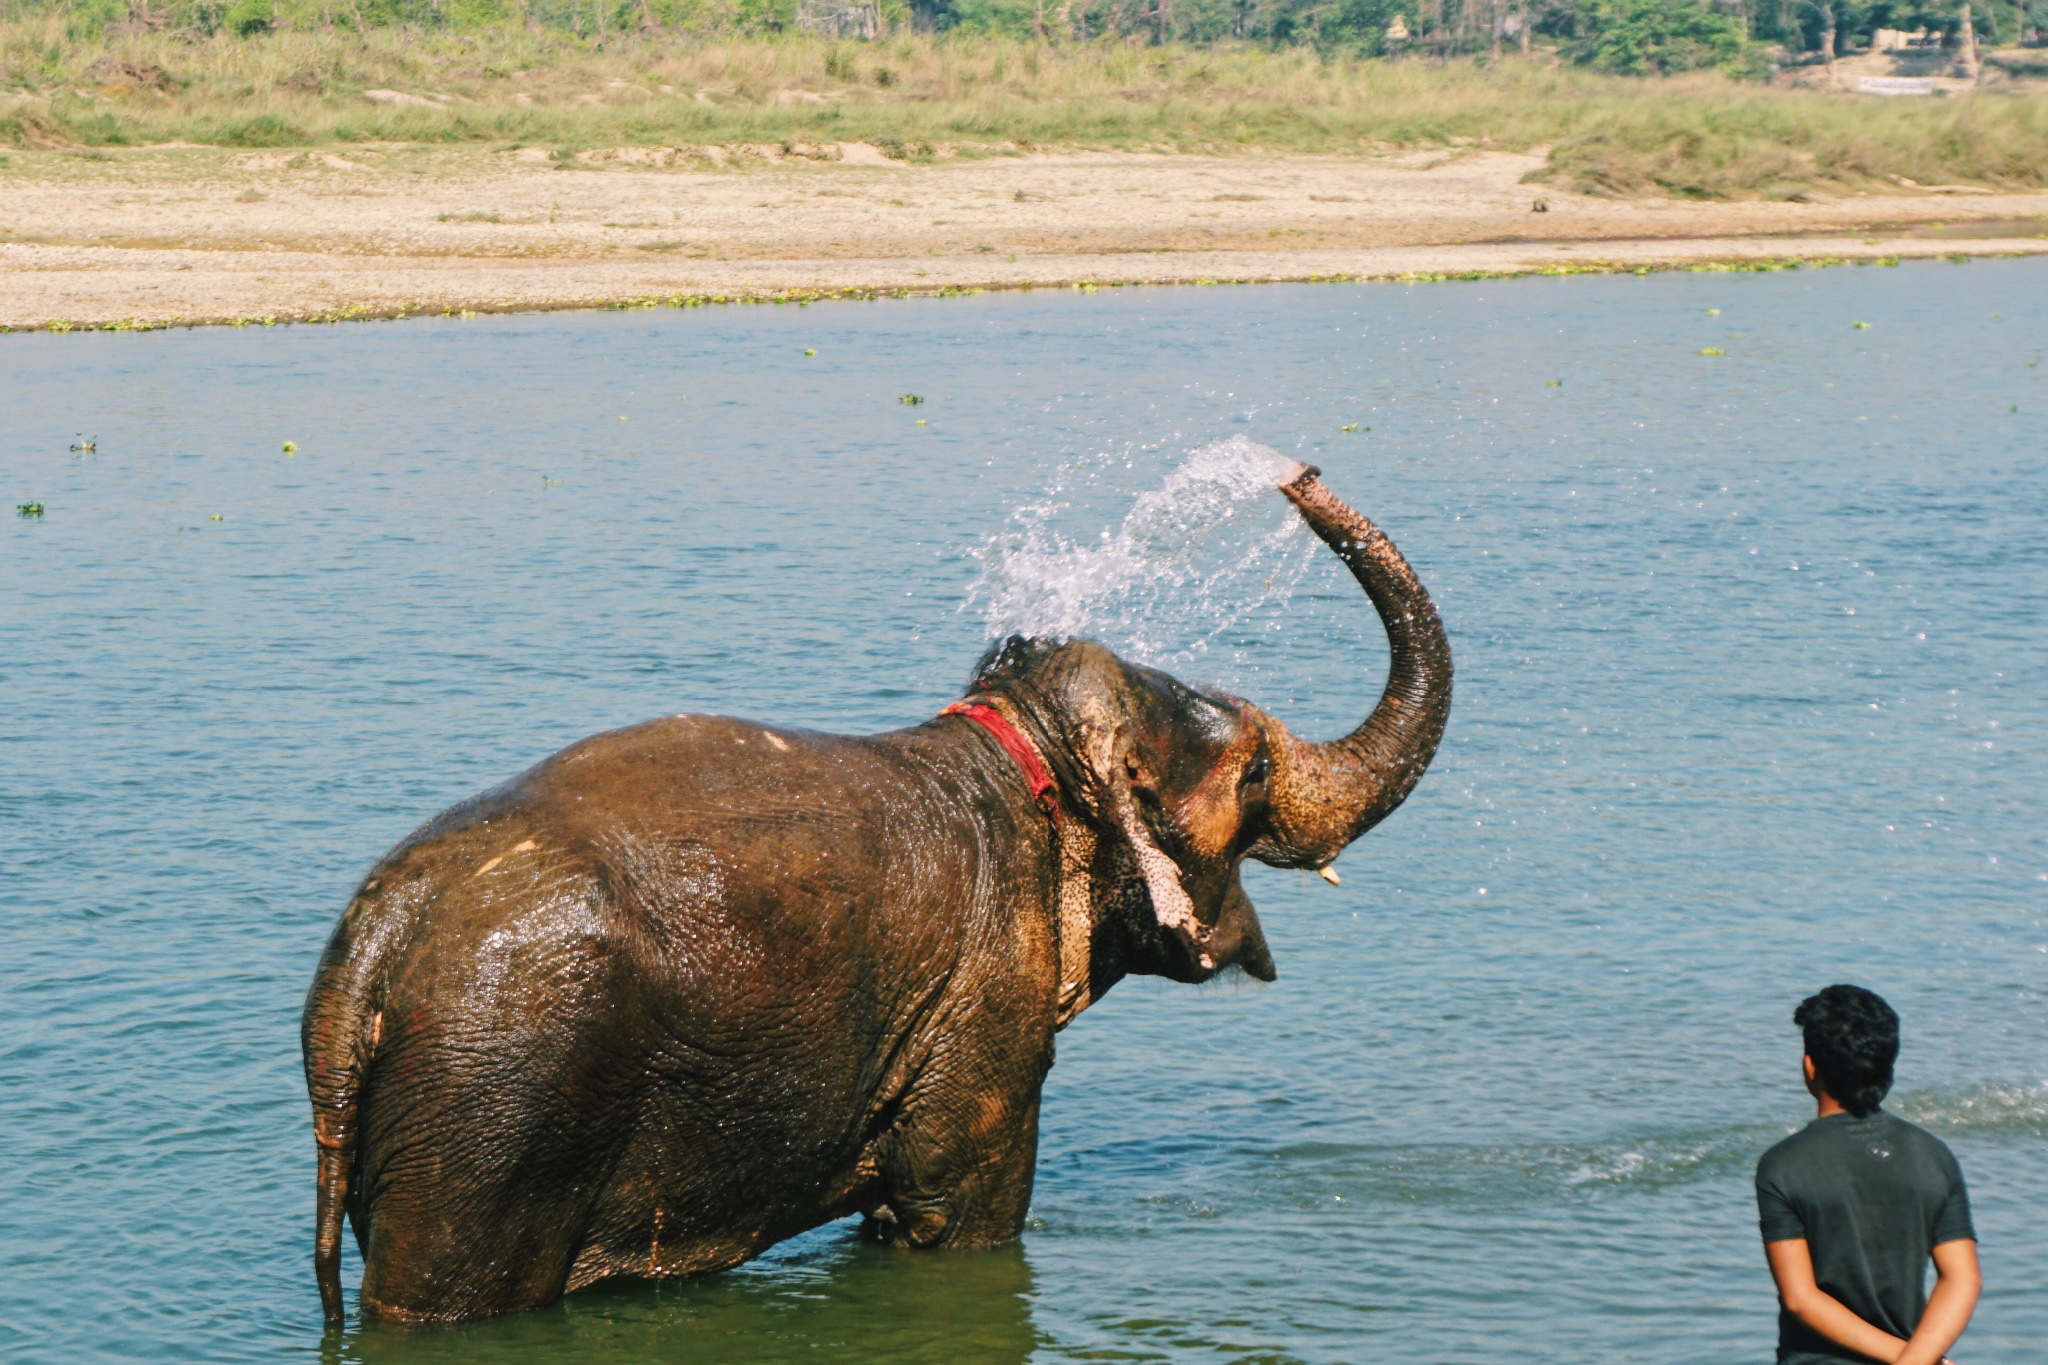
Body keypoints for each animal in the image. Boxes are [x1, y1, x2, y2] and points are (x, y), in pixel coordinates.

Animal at [307, 458, 1458, 1326]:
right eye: (1254, 774)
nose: (1293, 474)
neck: (1018, 750)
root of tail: (369, 950)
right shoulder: (981, 1004)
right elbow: (957, 1215)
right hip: (499, 1099)